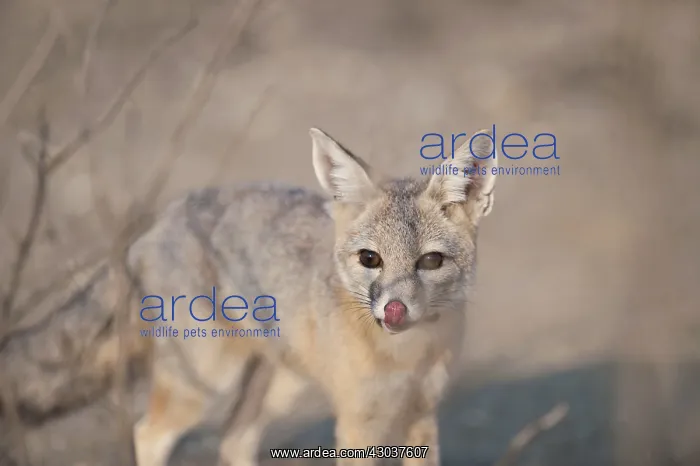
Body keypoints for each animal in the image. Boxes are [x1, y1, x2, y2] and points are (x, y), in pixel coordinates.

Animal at [128, 126, 498, 466]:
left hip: (279, 388)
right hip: (204, 382)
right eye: (370, 259)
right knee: (148, 433)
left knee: (233, 437)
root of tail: (164, 218)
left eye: (431, 261)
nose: (394, 310)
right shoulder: (356, 422)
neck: (406, 357)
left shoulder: (421, 414)